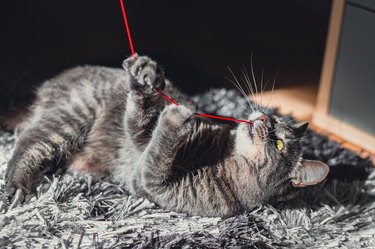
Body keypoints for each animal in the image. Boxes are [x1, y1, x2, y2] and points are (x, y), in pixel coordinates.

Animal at [5, 54, 328, 216]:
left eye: (279, 143)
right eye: (273, 120)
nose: (262, 116)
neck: (224, 158)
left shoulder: (154, 184)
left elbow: (157, 152)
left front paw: (174, 116)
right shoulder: (144, 140)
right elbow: (142, 120)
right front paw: (147, 80)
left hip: (71, 115)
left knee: (27, 139)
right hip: (73, 115)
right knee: (26, 143)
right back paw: (19, 188)